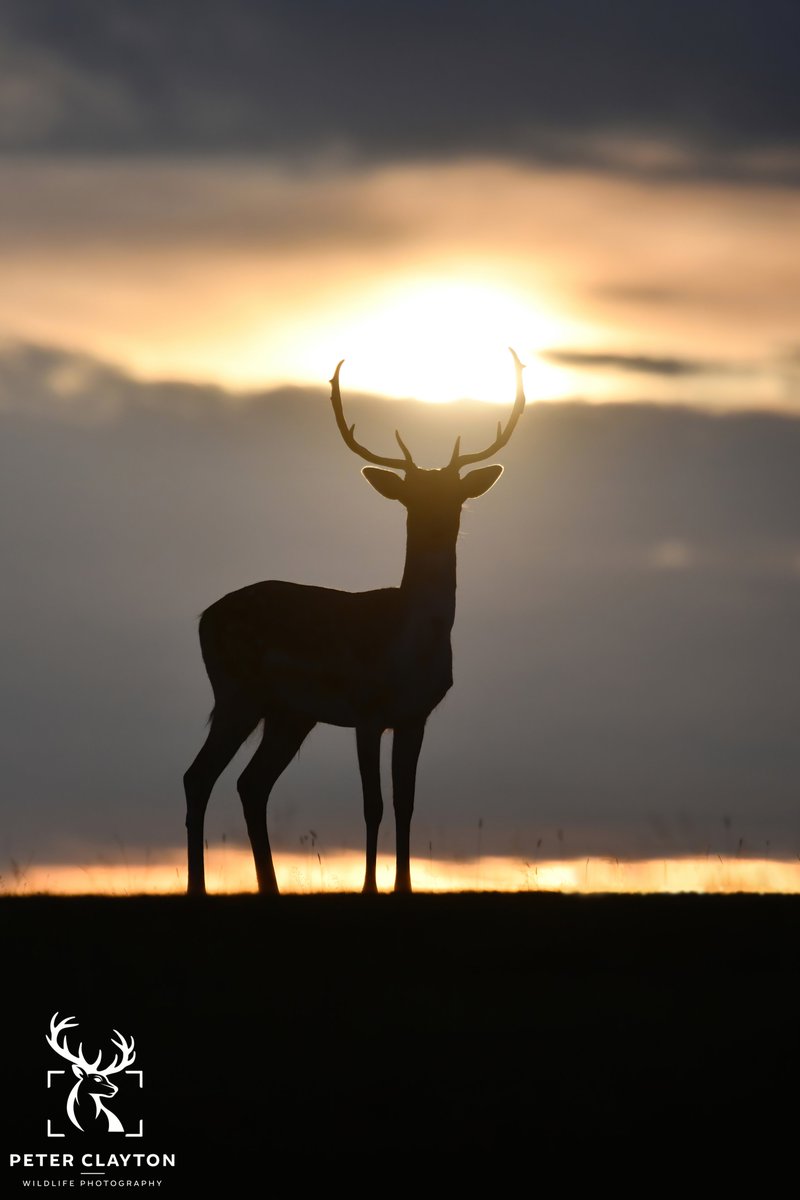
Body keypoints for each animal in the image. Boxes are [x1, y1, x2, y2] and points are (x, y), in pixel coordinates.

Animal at [184, 348, 526, 896]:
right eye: (411, 497)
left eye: (456, 495)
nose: (436, 525)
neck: (408, 649)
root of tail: (203, 617)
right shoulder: (366, 711)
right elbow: (373, 804)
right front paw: (369, 888)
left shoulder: (416, 715)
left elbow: (406, 803)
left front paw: (404, 887)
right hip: (237, 691)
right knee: (200, 776)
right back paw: (198, 887)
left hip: (288, 713)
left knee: (249, 783)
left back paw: (270, 888)